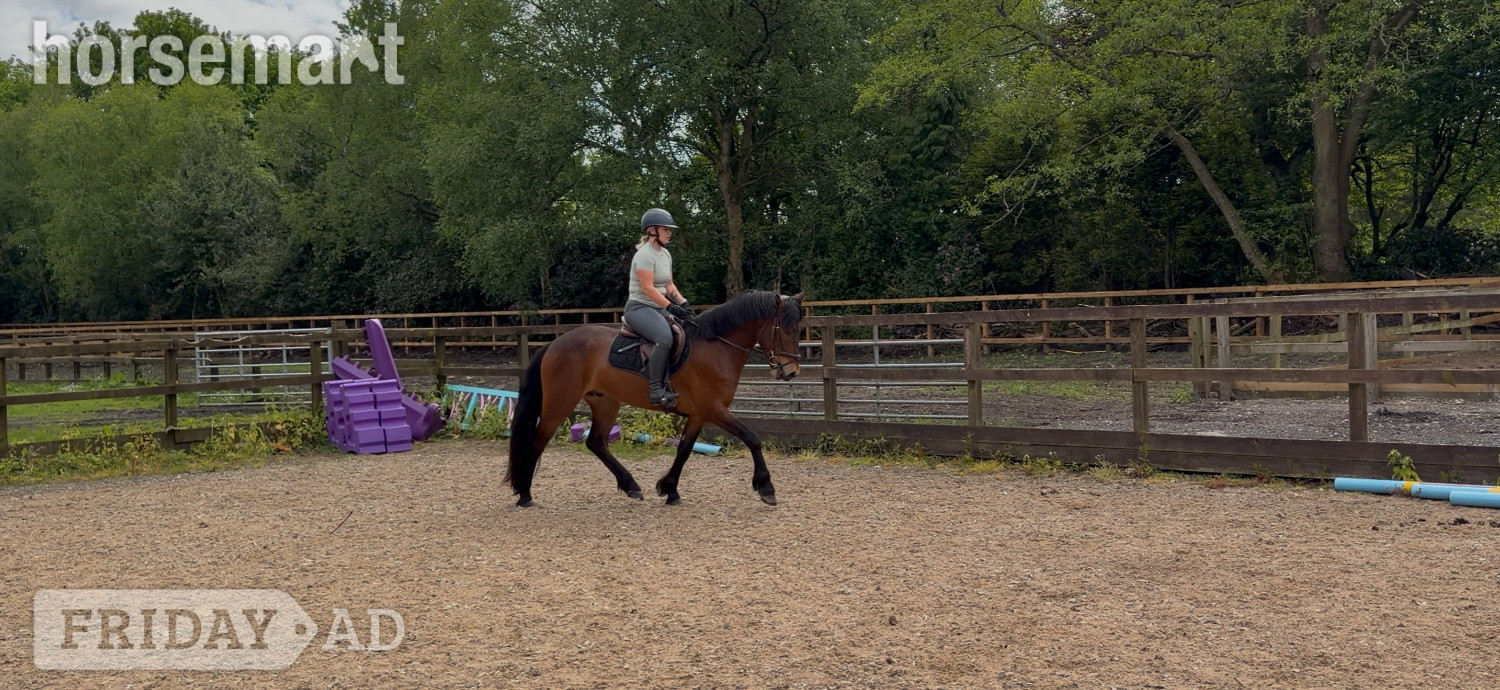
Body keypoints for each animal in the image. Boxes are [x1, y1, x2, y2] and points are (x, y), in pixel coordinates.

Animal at [506, 290, 804, 507]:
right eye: (785, 330)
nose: (791, 371)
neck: (716, 347)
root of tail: (555, 343)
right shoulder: (714, 409)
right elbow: (752, 438)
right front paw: (766, 487)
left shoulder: (699, 414)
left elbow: (684, 450)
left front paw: (669, 489)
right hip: (559, 404)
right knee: (537, 441)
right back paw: (525, 495)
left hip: (605, 402)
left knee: (596, 442)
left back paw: (631, 486)